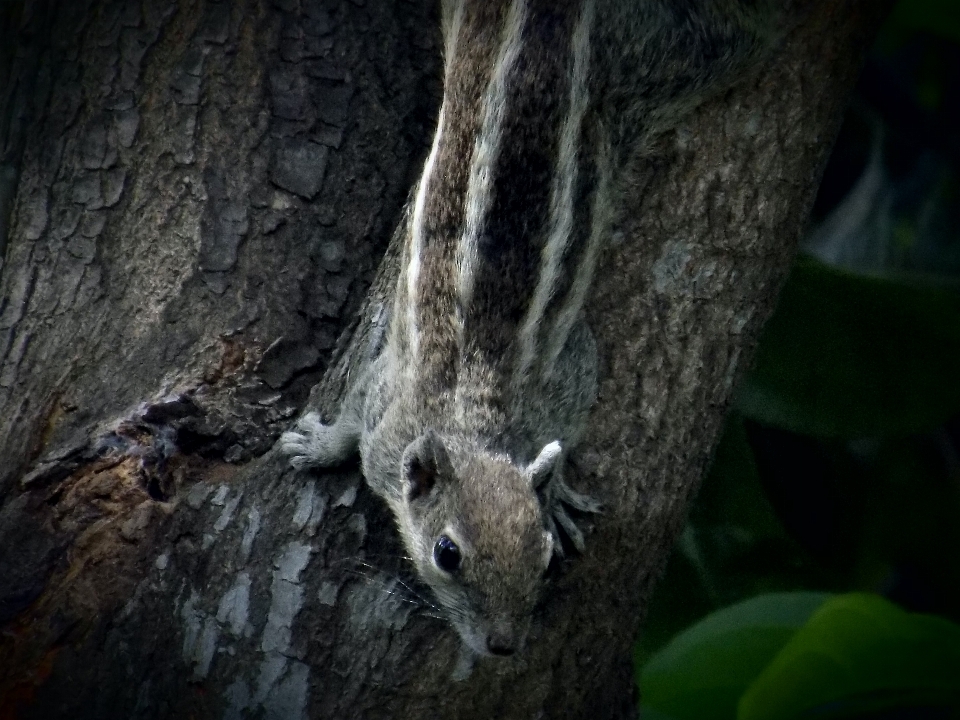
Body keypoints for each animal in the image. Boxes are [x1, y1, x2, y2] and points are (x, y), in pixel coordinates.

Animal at [284, 0, 780, 660]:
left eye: (544, 556)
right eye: (447, 554)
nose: (504, 646)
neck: (478, 420)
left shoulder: (568, 379)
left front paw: (560, 489)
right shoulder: (387, 412)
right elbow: (354, 420)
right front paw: (317, 446)